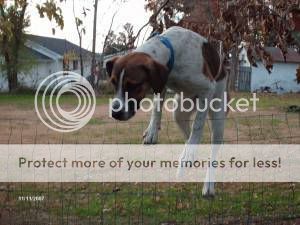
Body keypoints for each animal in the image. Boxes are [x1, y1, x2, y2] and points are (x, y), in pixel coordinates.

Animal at [106, 25, 226, 195]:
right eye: (113, 83)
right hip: (179, 112)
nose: (115, 113)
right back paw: (189, 154)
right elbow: (157, 108)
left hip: (217, 117)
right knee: (187, 134)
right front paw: (152, 131)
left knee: (211, 148)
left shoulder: (208, 88)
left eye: (134, 85)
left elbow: (197, 125)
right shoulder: (160, 84)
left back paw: (207, 183)